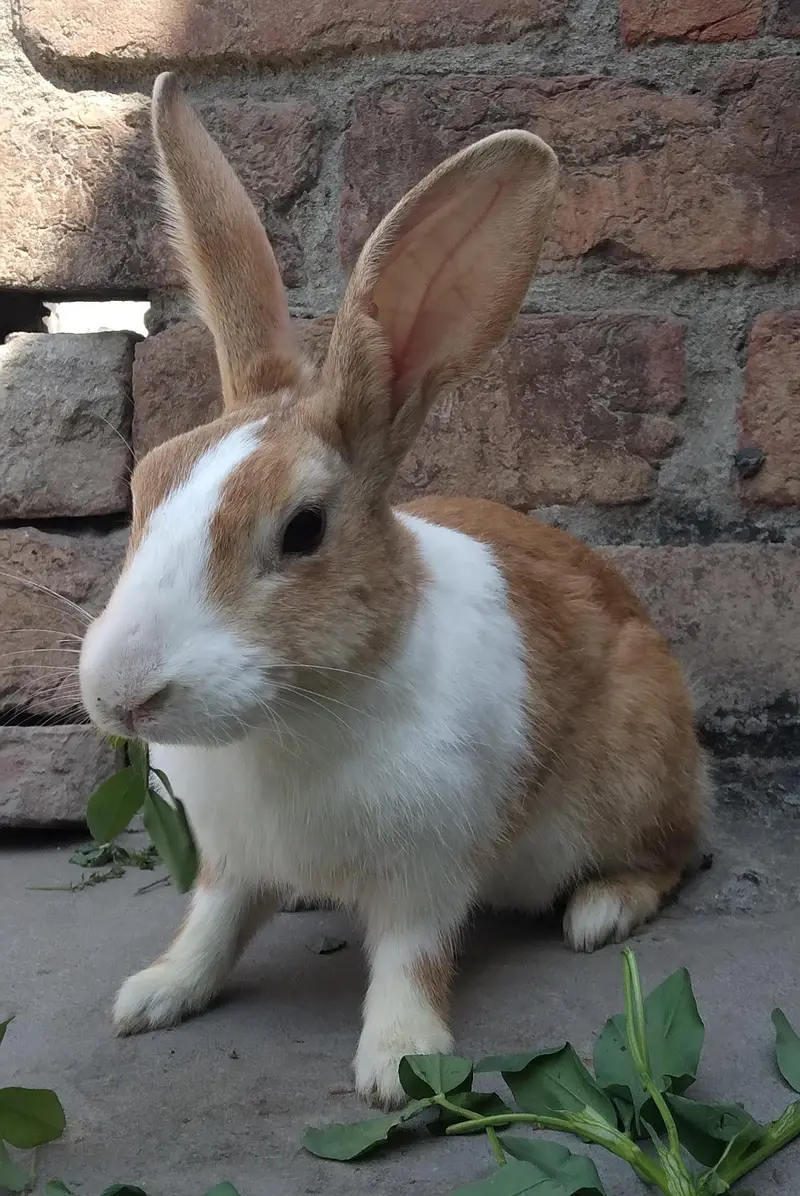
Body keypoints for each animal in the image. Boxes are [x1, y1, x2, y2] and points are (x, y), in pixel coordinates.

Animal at [78, 72, 710, 1110]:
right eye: (144, 485)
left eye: (302, 530)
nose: (122, 696)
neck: (290, 724)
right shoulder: (229, 864)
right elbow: (210, 928)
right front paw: (151, 997)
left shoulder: (430, 872)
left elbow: (413, 959)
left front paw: (400, 1065)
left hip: (633, 773)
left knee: (674, 856)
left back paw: (600, 912)